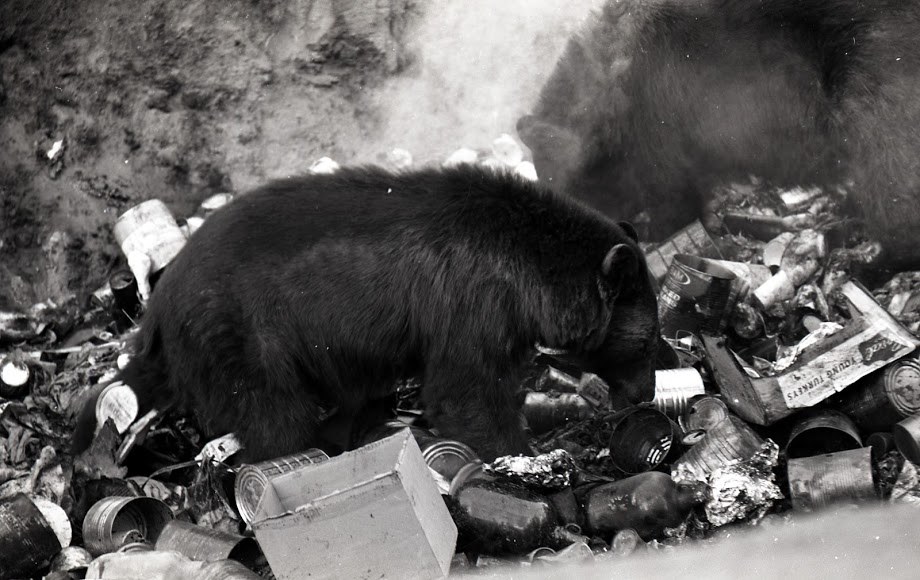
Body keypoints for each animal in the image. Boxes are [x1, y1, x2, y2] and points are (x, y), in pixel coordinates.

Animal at [73, 165, 659, 463]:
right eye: (647, 341)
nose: (646, 392)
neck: (530, 270)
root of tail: (156, 312)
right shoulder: (472, 303)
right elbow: (464, 388)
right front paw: (527, 451)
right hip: (242, 341)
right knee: (275, 418)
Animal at [517, 0, 920, 267]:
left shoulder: (657, 123)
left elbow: (671, 194)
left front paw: (654, 231)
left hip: (874, 77)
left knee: (890, 176)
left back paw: (867, 256)